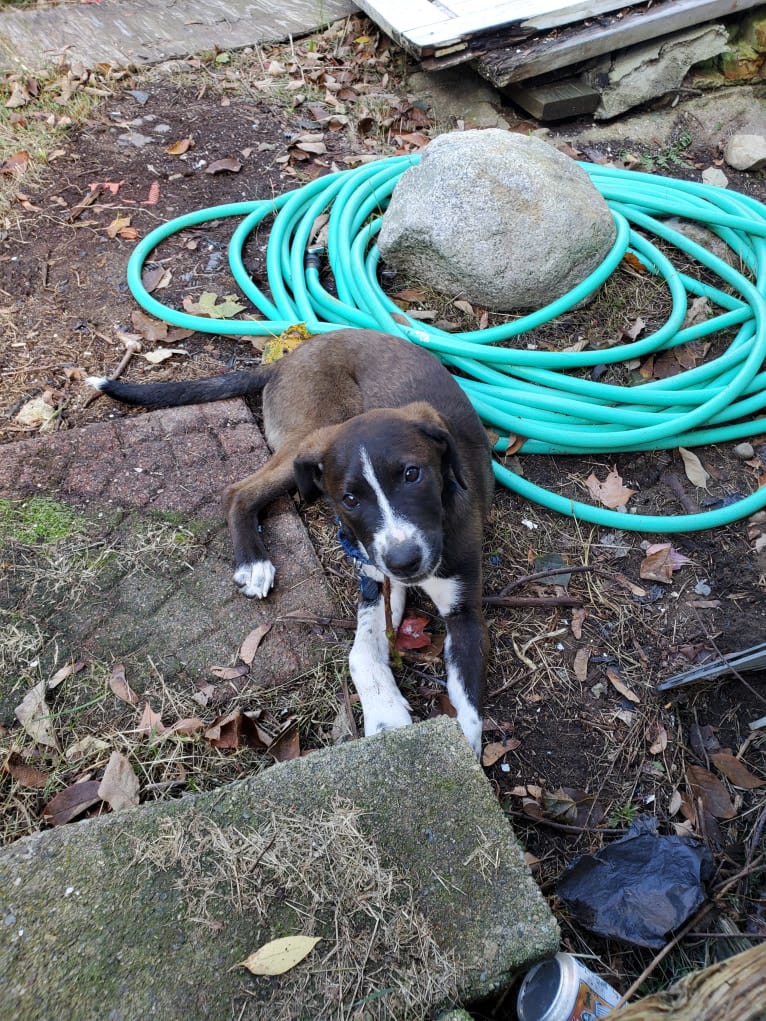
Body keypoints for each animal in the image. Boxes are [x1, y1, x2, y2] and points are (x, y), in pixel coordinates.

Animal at [86, 330, 494, 755]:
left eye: (413, 474)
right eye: (350, 499)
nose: (403, 561)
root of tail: (291, 353)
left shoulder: (465, 613)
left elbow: (467, 706)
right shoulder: (374, 581)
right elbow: (360, 655)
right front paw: (386, 718)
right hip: (310, 439)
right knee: (239, 492)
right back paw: (252, 563)